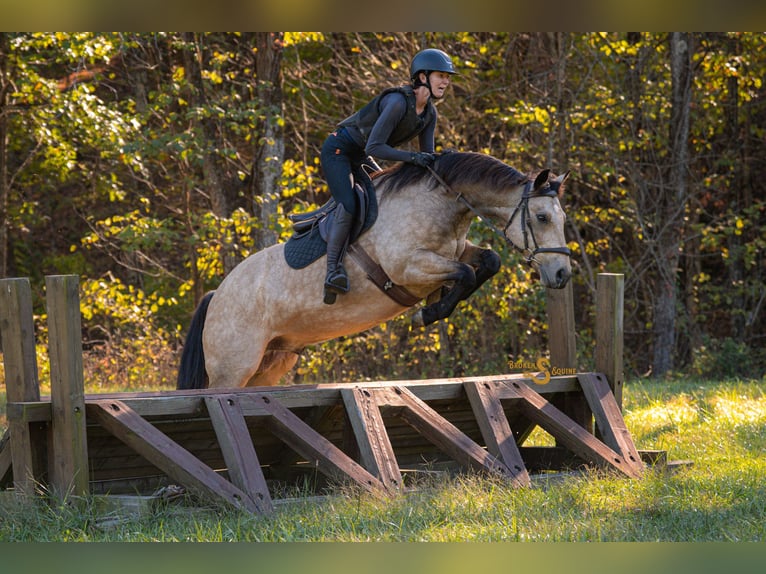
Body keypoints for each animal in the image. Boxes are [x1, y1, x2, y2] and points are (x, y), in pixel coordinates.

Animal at [177, 151, 571, 390]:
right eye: (542, 217)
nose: (562, 275)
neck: (439, 204)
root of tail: (216, 297)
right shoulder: (410, 267)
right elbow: (466, 273)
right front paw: (429, 312)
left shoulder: (454, 252)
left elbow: (487, 262)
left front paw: (436, 306)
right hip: (232, 369)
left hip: (271, 364)